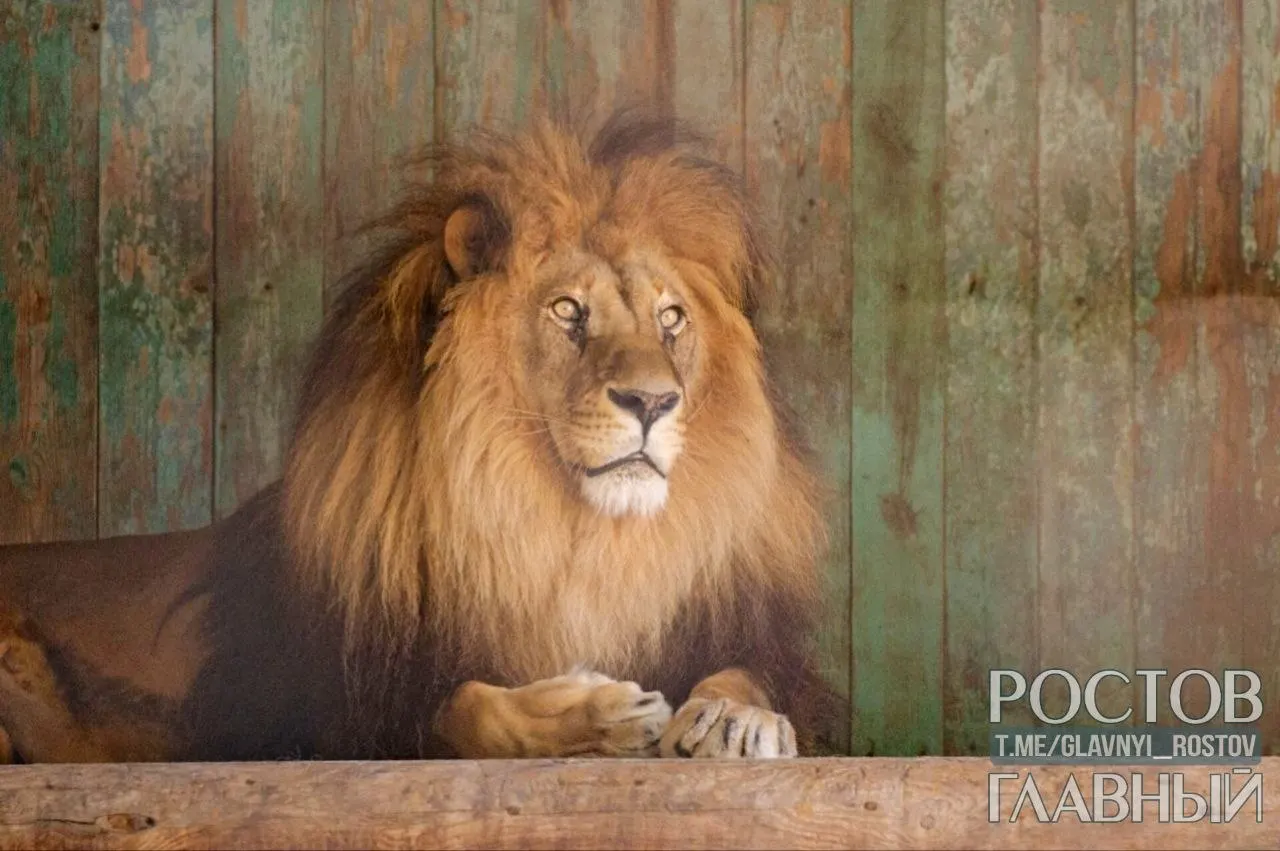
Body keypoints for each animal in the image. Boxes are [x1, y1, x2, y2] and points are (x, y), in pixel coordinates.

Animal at [0, 110, 833, 763]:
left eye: (670, 318)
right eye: (568, 311)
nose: (654, 400)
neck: (564, 534)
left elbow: (751, 671)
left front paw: (738, 715)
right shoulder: (319, 713)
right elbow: (465, 707)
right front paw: (593, 711)